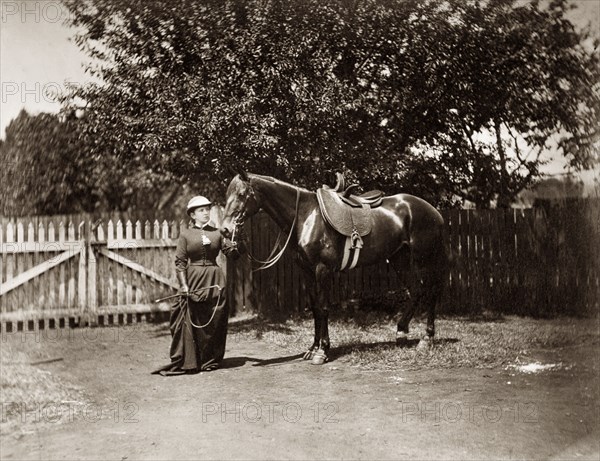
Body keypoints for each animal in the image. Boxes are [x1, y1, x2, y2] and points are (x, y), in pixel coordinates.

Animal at [219, 171, 446, 364]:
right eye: (227, 194)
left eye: (241, 194)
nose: (225, 230)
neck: (306, 216)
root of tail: (434, 211)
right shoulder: (307, 272)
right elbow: (315, 309)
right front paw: (312, 348)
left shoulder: (323, 270)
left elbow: (324, 307)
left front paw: (322, 351)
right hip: (399, 259)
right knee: (416, 290)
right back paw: (401, 332)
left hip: (425, 259)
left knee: (431, 291)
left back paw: (427, 338)